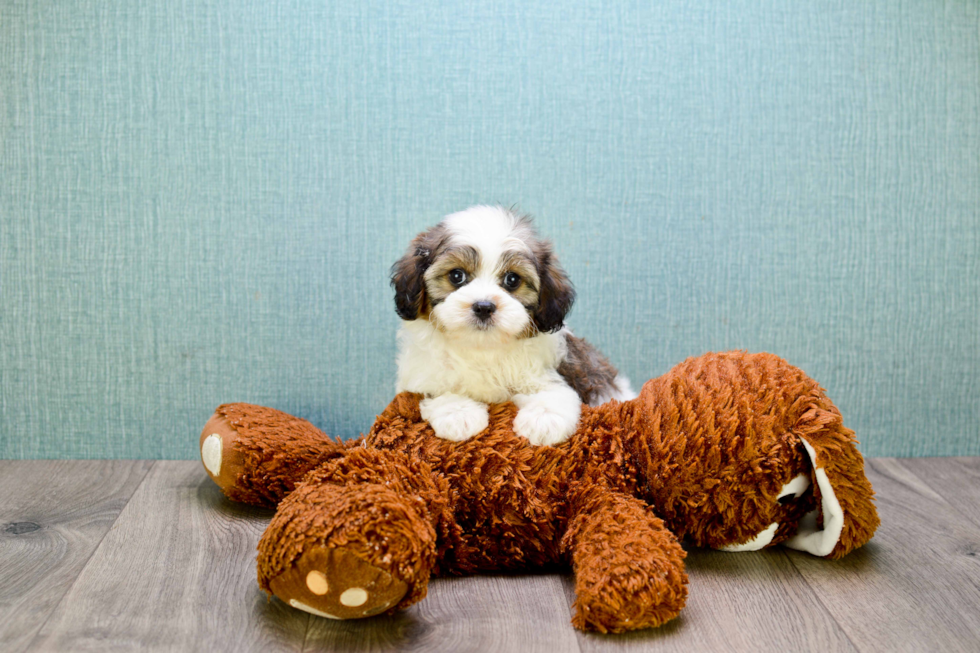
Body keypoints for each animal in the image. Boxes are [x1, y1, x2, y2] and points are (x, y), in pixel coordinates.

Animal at [390, 206, 636, 446]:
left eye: (512, 280)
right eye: (456, 275)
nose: (484, 306)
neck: (482, 349)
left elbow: (556, 391)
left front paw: (544, 419)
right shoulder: (419, 378)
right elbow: (434, 391)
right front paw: (458, 412)